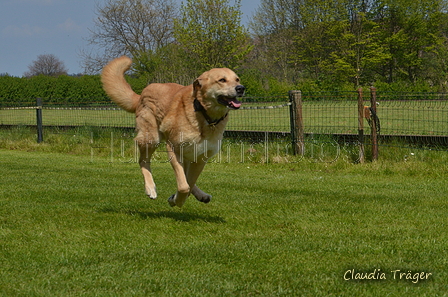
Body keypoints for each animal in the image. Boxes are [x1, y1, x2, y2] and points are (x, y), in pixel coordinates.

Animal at [100, 56, 245, 207]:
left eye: (237, 79)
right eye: (222, 80)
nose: (241, 88)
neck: (204, 115)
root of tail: (141, 95)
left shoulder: (200, 158)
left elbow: (188, 183)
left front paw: (176, 198)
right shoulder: (173, 149)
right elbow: (184, 186)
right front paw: (176, 201)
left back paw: (201, 195)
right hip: (151, 139)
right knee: (143, 161)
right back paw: (150, 188)